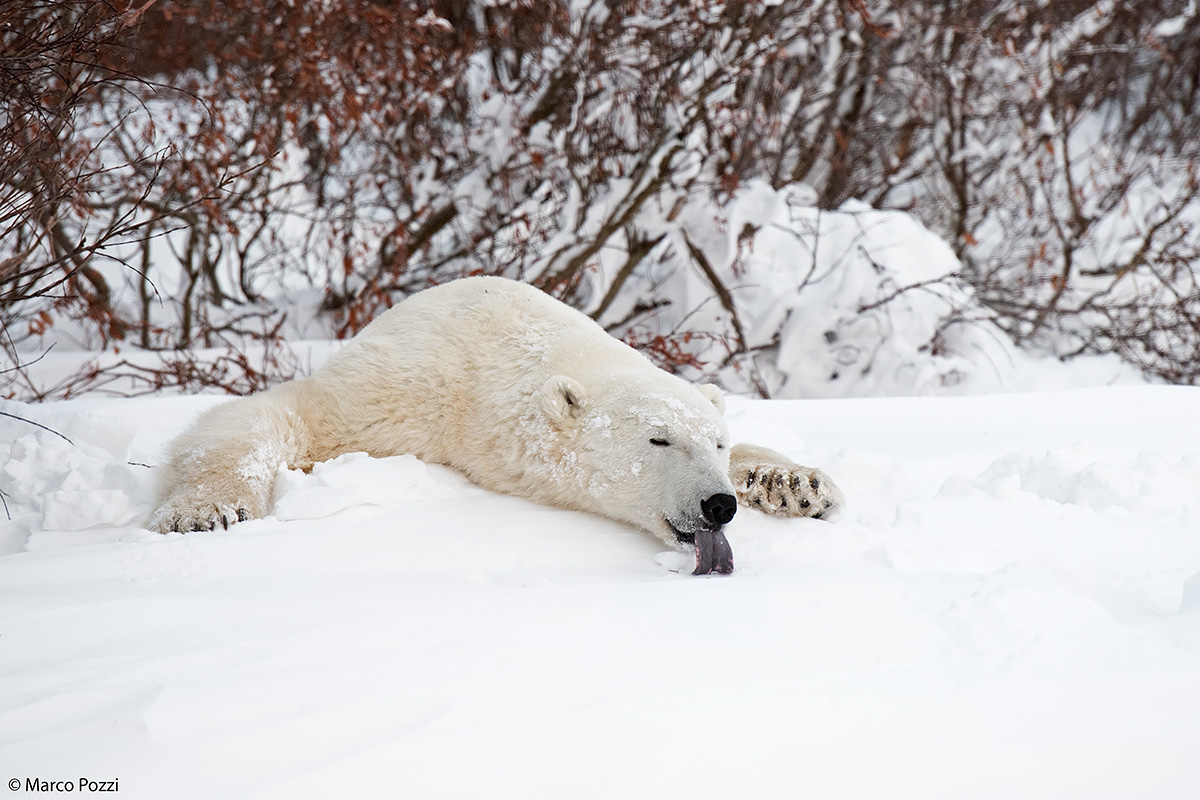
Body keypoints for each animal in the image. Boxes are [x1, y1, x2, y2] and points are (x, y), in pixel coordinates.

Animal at [149, 276, 842, 574]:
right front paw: (202, 512)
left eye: (715, 444)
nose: (719, 504)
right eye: (658, 439)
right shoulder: (402, 385)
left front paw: (798, 485)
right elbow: (284, 414)